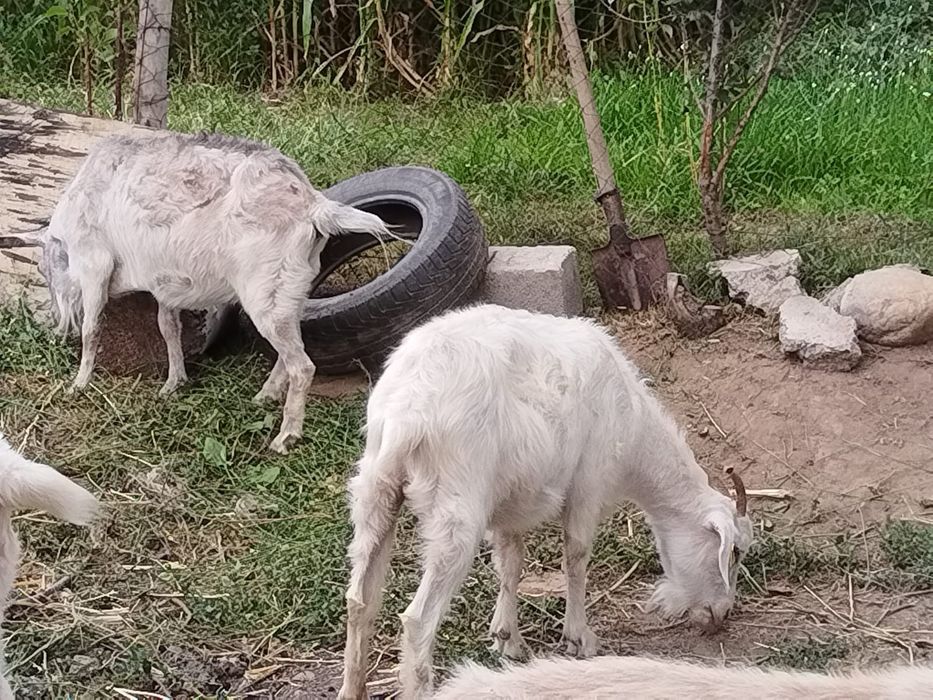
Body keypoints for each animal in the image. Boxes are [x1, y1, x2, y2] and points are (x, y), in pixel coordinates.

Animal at [21, 132, 390, 454]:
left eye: (45, 270)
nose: (57, 323)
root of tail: (313, 205)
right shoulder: (164, 287)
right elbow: (169, 330)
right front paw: (173, 383)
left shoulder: (95, 265)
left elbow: (92, 330)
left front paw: (79, 383)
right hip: (290, 294)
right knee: (289, 354)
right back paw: (265, 396)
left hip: (265, 296)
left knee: (302, 366)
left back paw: (285, 437)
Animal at [337, 304, 754, 700]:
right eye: (733, 553)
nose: (722, 613)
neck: (634, 428)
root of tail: (407, 411)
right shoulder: (588, 483)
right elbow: (577, 555)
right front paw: (578, 637)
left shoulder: (505, 506)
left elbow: (510, 563)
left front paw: (506, 638)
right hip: (456, 506)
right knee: (418, 619)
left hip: (375, 489)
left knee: (359, 598)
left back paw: (353, 687)